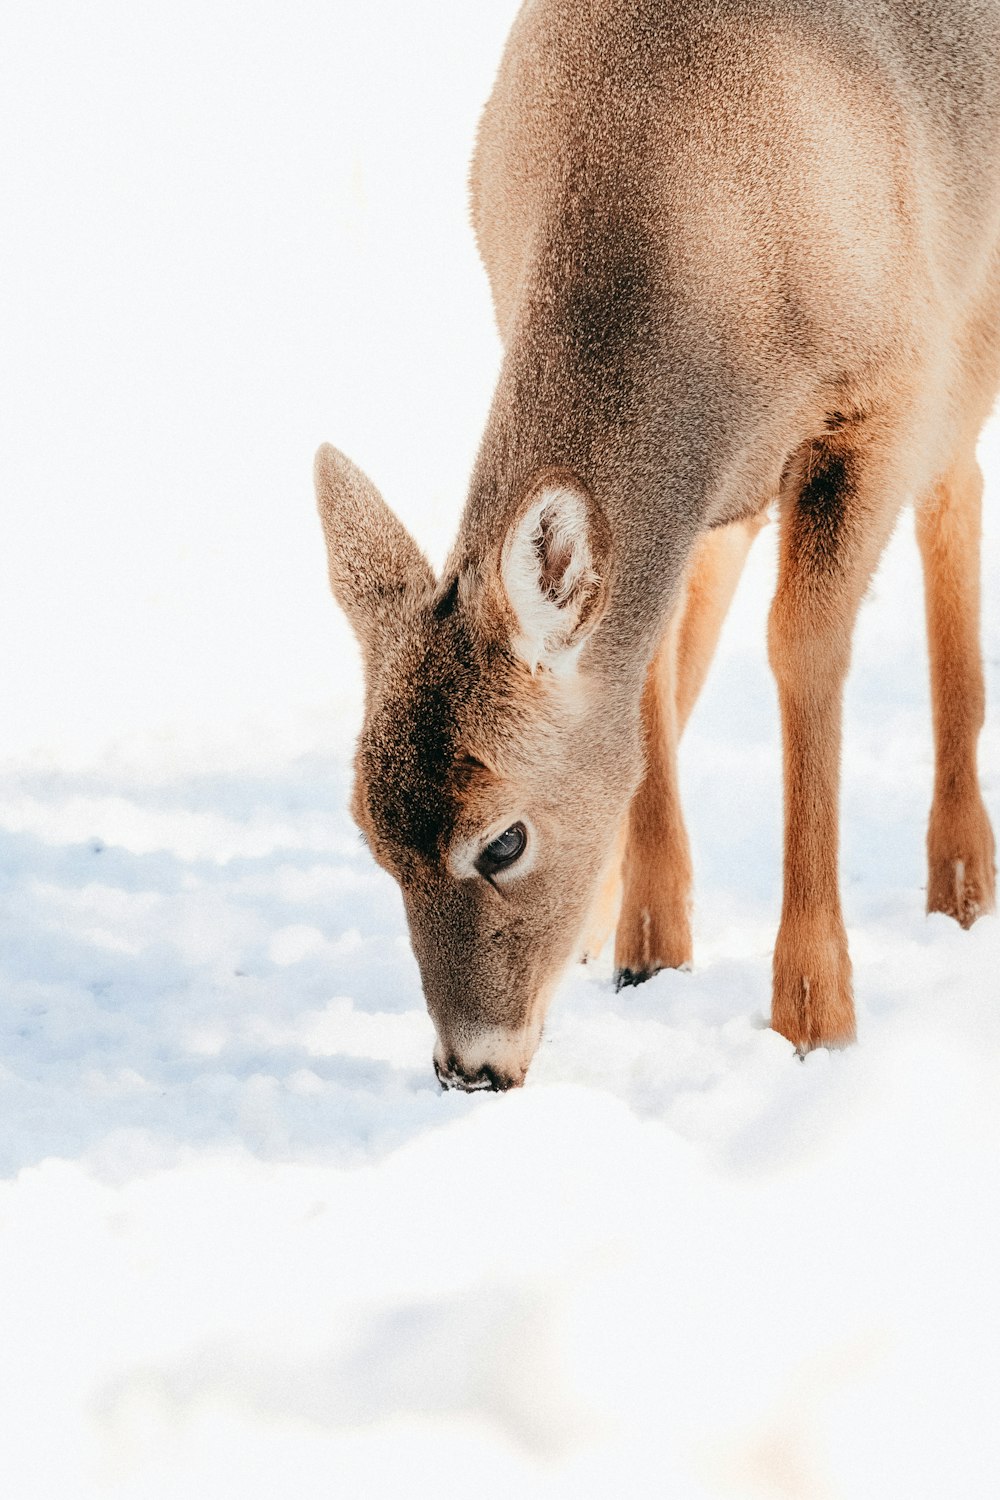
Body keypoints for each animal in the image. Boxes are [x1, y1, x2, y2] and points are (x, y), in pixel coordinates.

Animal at [316, 0, 995, 1092]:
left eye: (502, 842)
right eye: (373, 839)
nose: (468, 1067)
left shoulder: (887, 384)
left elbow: (804, 645)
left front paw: (814, 1011)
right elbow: (644, 670)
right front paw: (648, 943)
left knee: (956, 487)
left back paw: (963, 882)